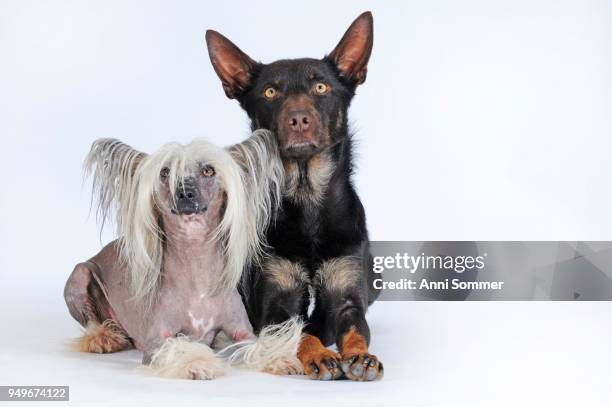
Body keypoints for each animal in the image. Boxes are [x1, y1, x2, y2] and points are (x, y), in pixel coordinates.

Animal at [64, 131, 304, 380]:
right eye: (165, 172)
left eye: (208, 170)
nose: (184, 192)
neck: (196, 268)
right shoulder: (156, 341)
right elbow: (175, 347)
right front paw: (197, 363)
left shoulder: (243, 332)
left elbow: (258, 345)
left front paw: (280, 359)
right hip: (79, 275)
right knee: (92, 320)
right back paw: (103, 338)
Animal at [206, 12, 382, 382]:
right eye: (271, 92)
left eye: (321, 87)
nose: (298, 119)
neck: (307, 198)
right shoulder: (278, 306)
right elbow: (298, 332)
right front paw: (317, 356)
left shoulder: (346, 297)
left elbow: (355, 329)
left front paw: (360, 356)